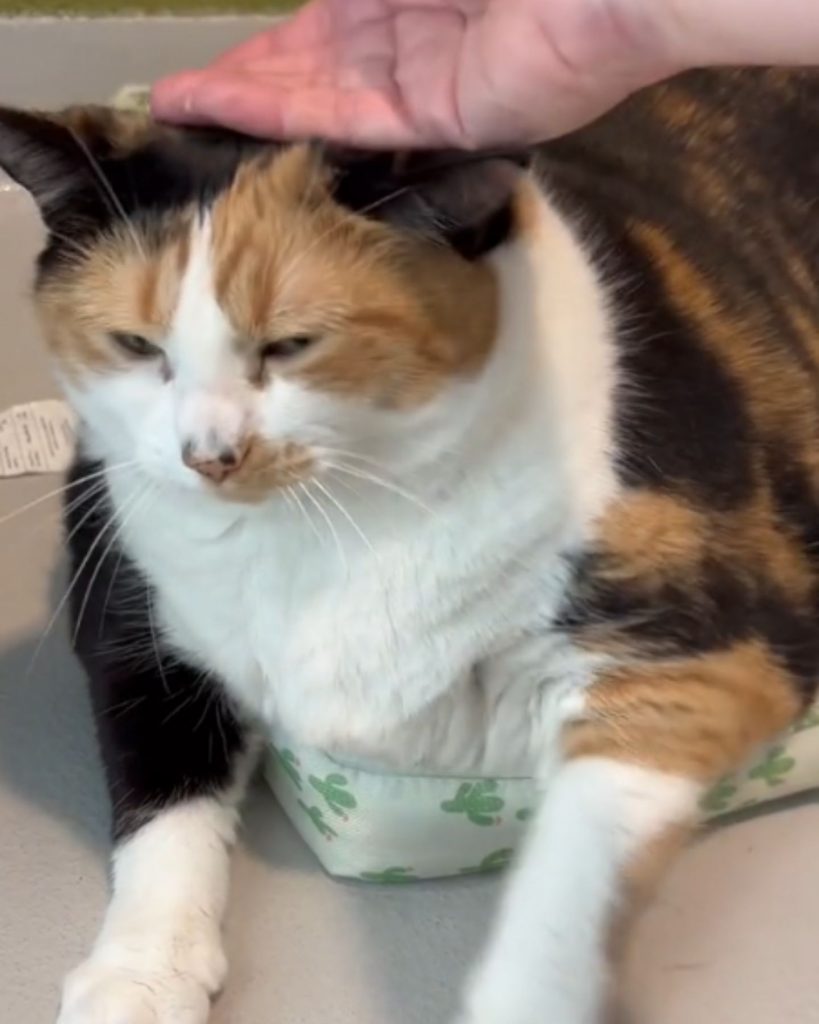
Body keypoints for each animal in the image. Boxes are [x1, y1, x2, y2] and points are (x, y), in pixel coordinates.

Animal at [0, 66, 814, 1024]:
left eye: (293, 343)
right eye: (134, 344)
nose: (210, 455)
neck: (310, 531)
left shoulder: (702, 649)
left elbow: (570, 878)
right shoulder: (125, 601)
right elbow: (163, 802)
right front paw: (138, 980)